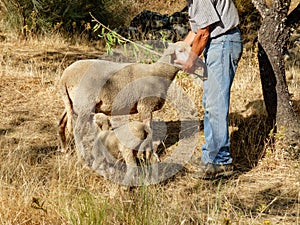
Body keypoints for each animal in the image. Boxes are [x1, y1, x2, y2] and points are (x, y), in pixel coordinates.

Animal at [58, 40, 195, 155]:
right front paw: (149, 154)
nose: (194, 62)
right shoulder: (145, 106)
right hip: (85, 104)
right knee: (77, 130)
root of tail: (64, 76)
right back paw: (82, 155)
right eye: (180, 50)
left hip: (72, 102)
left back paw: (65, 149)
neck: (159, 73)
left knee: (62, 123)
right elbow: (148, 131)